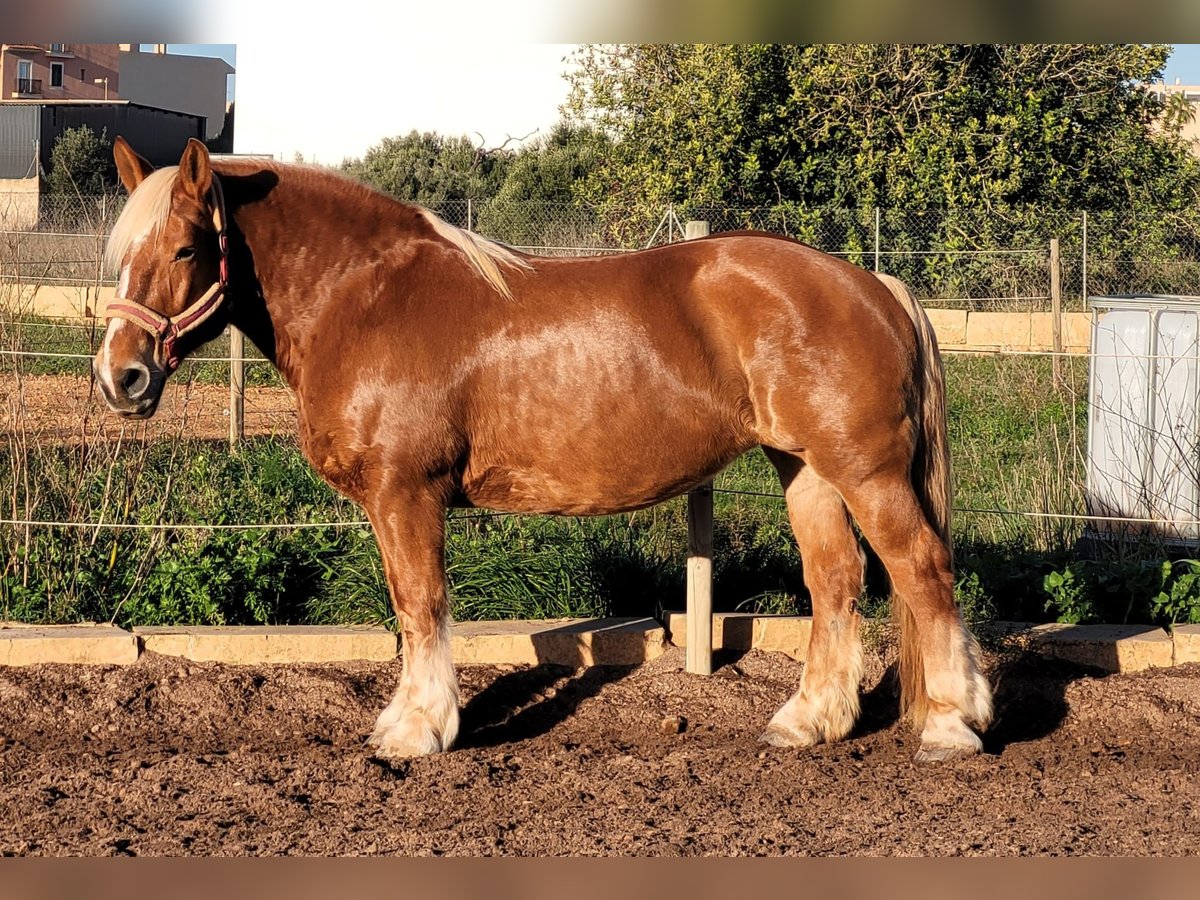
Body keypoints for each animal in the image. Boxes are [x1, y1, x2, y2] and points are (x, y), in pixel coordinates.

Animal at [96, 139, 993, 763]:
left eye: (185, 248)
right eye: (122, 253)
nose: (121, 377)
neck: (369, 298)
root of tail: (874, 285)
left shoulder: (406, 494)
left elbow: (421, 607)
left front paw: (419, 731)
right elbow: (407, 610)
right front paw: (403, 720)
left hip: (866, 472)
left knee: (922, 571)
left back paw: (951, 726)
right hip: (805, 468)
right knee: (835, 581)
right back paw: (809, 722)